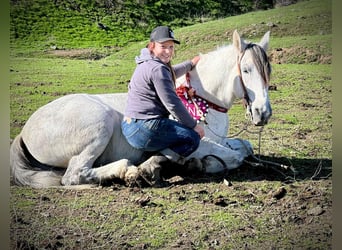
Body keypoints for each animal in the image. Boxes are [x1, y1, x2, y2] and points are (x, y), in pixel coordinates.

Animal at [10, 30, 272, 188]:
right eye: (246, 69)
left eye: (267, 70)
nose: (264, 113)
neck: (201, 99)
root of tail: (24, 131)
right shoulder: (199, 142)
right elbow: (235, 156)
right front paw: (195, 164)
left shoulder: (220, 140)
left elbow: (244, 146)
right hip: (99, 125)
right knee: (74, 175)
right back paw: (129, 171)